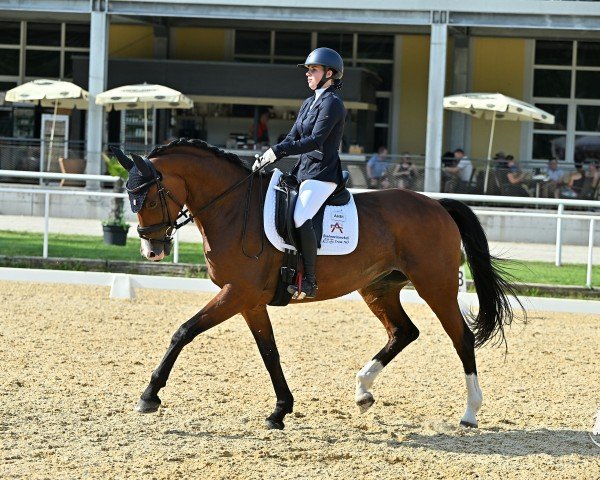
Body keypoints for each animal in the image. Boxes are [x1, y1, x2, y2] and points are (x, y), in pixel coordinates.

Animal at [113, 139, 524, 432]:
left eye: (149, 198)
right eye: (131, 199)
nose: (153, 250)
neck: (231, 208)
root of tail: (438, 205)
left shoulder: (236, 293)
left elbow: (183, 332)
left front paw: (149, 396)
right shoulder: (248, 300)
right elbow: (270, 353)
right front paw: (280, 411)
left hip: (434, 285)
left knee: (461, 337)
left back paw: (470, 412)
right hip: (378, 287)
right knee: (403, 331)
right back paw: (363, 390)